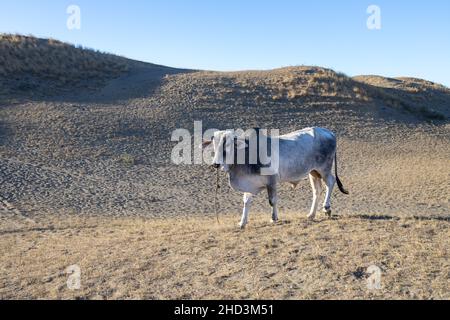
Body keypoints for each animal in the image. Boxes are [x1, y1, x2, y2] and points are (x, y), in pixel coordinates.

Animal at [203, 126, 348, 229]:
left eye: (227, 145)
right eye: (214, 145)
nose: (216, 164)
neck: (247, 154)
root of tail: (329, 132)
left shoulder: (271, 181)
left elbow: (272, 201)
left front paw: (274, 218)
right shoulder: (250, 183)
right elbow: (246, 201)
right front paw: (242, 222)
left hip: (324, 169)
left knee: (330, 182)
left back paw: (326, 208)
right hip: (313, 172)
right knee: (317, 190)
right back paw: (311, 214)